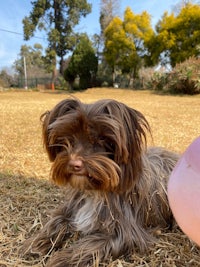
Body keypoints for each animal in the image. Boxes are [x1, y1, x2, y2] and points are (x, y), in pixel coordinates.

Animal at [23, 99, 178, 267]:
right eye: (69, 136)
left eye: (102, 138)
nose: (74, 164)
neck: (95, 191)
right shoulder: (71, 207)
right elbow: (56, 220)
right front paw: (37, 243)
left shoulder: (125, 232)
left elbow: (90, 243)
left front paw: (63, 259)